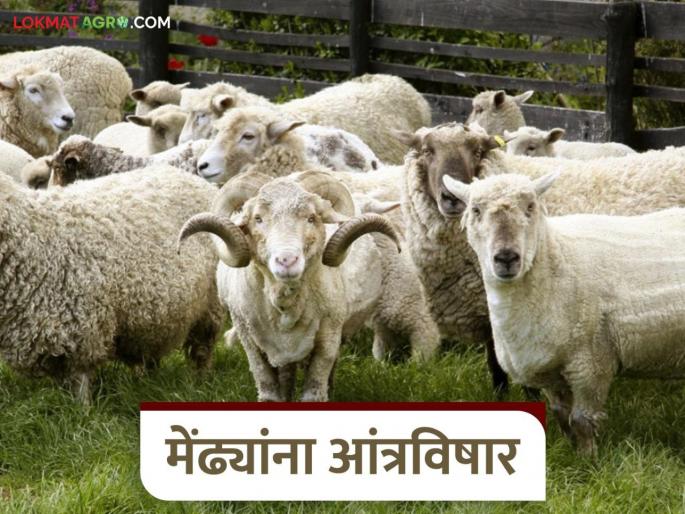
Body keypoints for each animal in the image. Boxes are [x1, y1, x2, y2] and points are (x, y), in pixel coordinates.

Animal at [0, 165, 224, 404]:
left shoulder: (83, 333)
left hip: (210, 306)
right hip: (155, 316)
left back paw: (200, 382)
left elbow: (79, 386)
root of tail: (187, 175)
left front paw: (84, 410)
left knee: (202, 349)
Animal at [178, 171, 406, 401]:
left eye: (311, 218)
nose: (287, 260)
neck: (285, 303)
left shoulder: (328, 338)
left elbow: (315, 390)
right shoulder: (249, 339)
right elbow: (268, 390)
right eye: (257, 218)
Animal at [443, 172, 685, 455]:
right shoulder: (550, 368)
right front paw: (571, 450)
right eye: (476, 210)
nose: (506, 258)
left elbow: (581, 420)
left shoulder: (591, 362)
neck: (555, 259)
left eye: (530, 208)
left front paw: (588, 458)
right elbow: (561, 415)